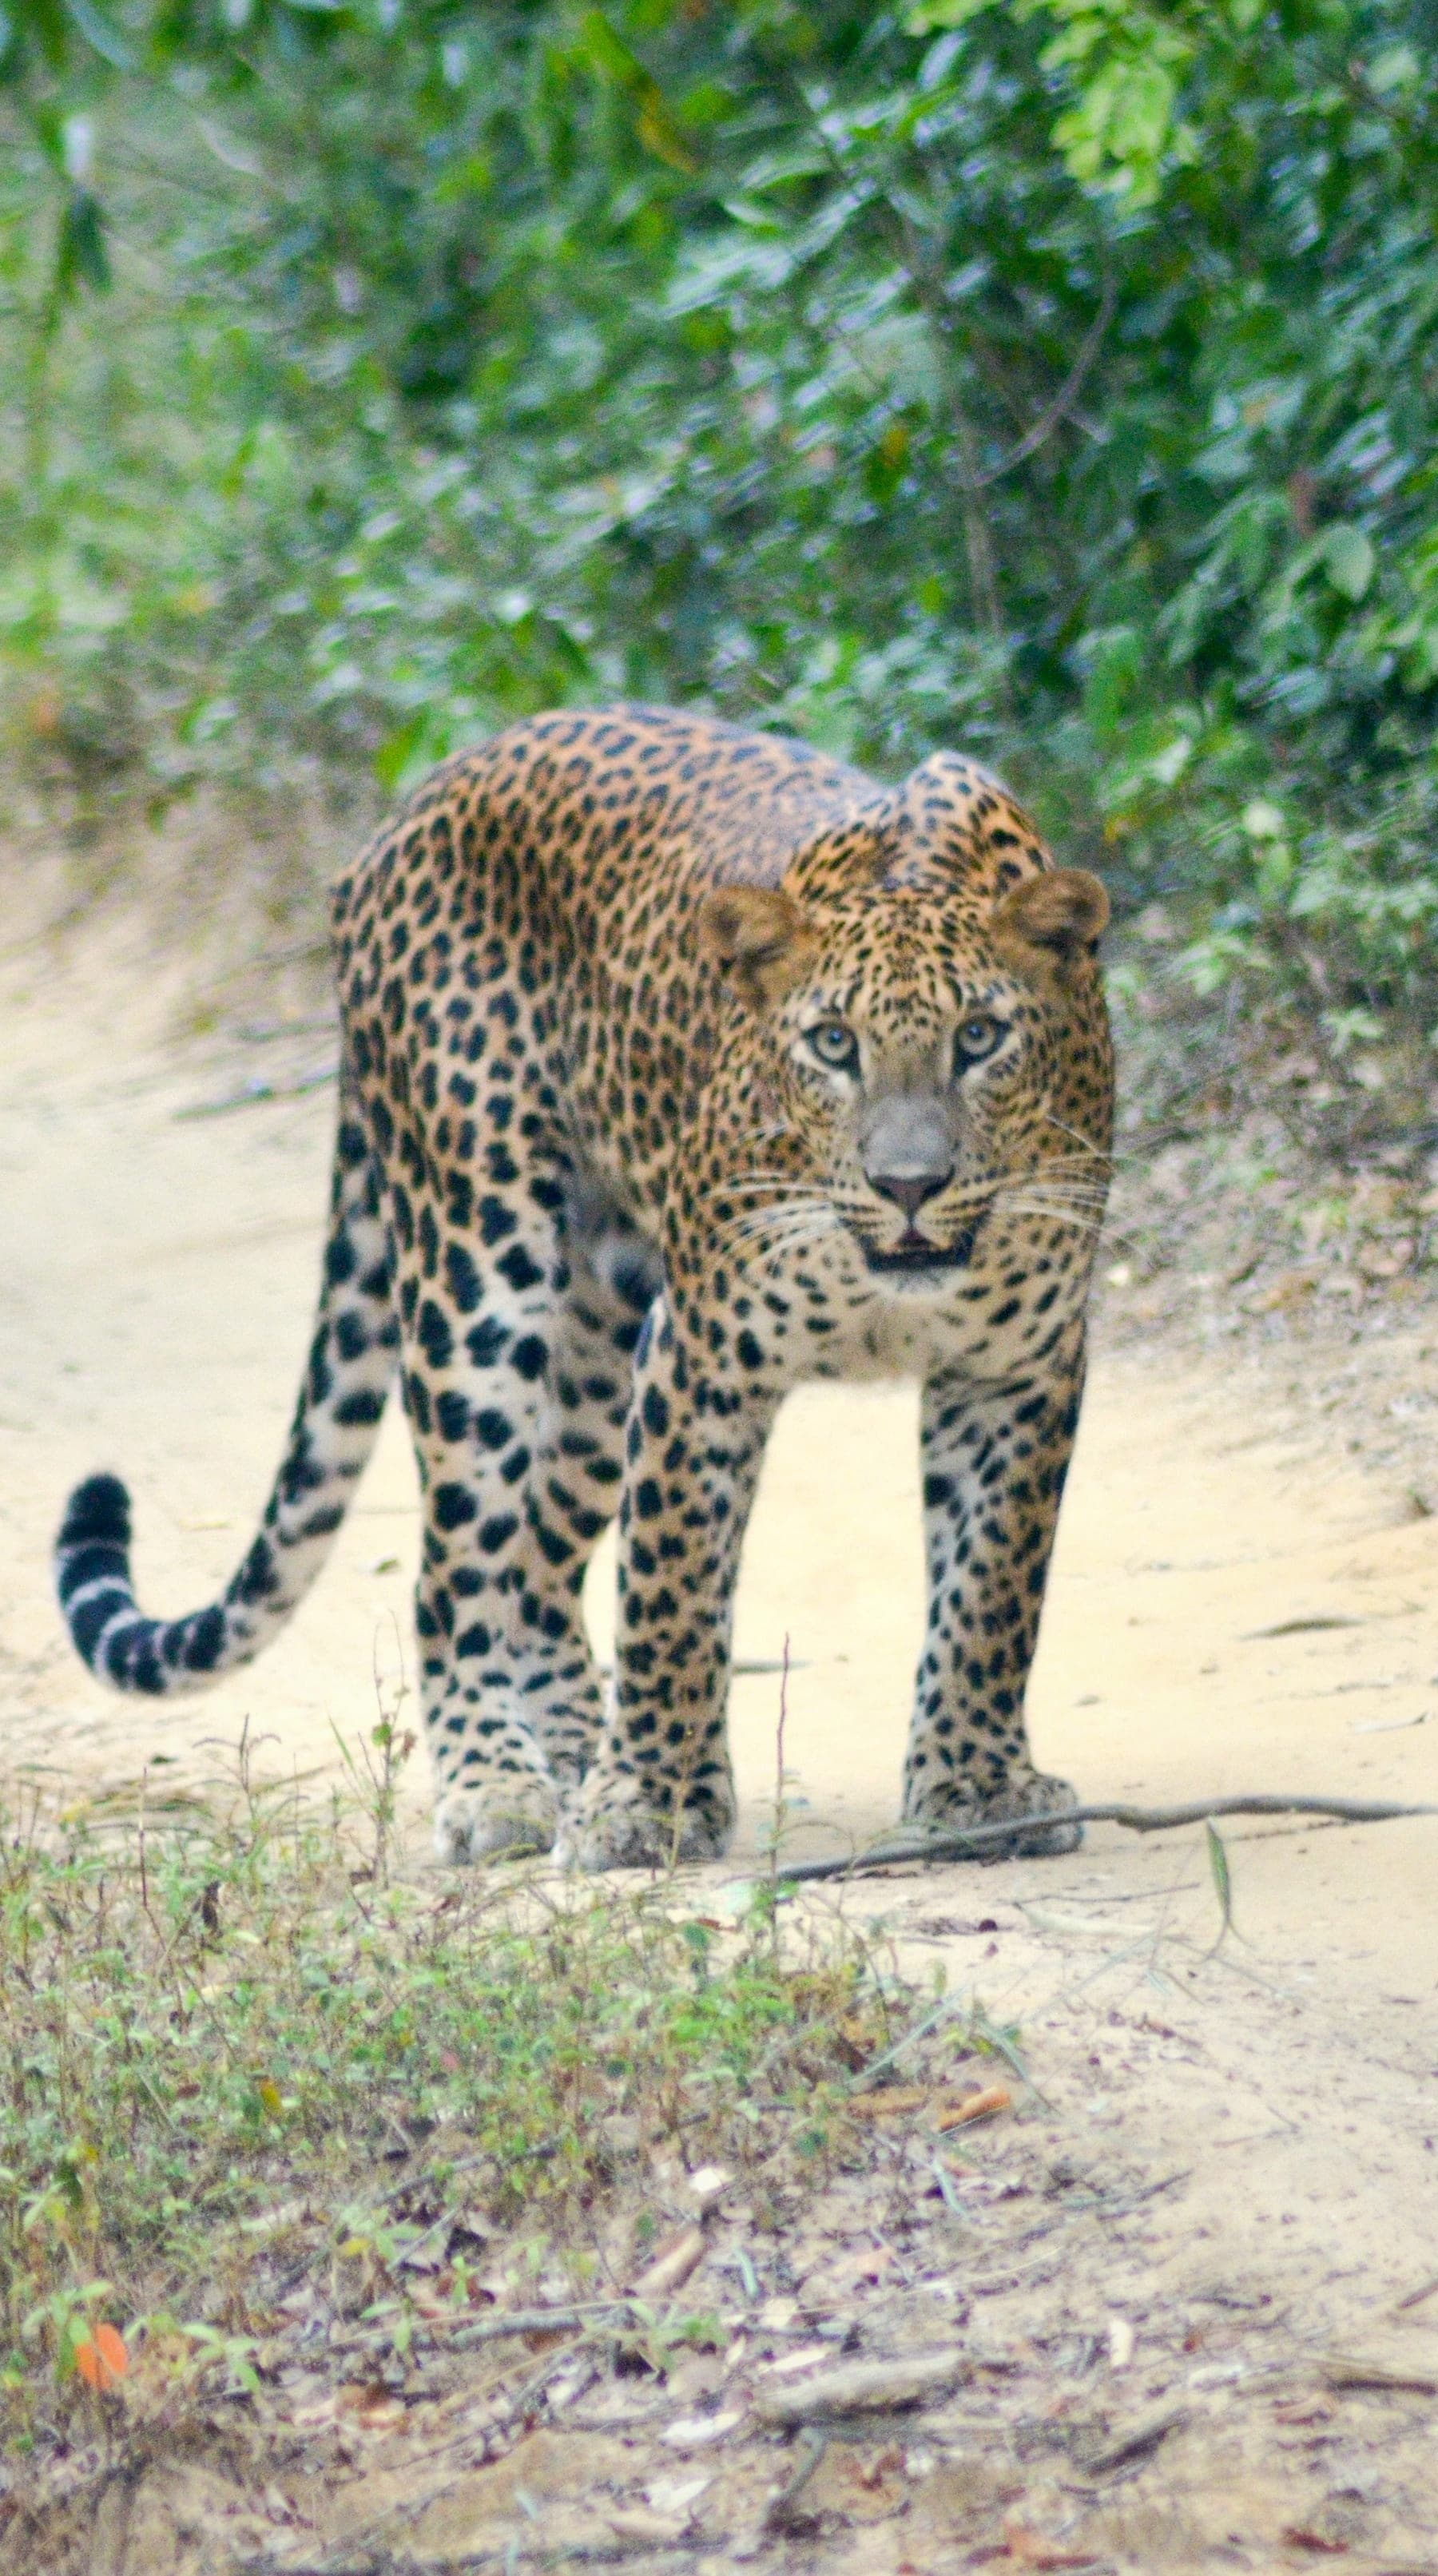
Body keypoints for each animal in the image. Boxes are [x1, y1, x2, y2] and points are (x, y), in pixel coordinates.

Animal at [55, 703, 1113, 1870]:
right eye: (834, 1043)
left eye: (981, 1038)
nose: (911, 1186)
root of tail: (408, 812)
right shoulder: (701, 1360)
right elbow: (671, 1588)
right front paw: (651, 1804)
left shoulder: (1018, 1371)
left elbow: (992, 1589)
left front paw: (978, 1786)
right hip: (478, 1274)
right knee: (454, 1572)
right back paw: (499, 1785)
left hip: (600, 1335)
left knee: (539, 1560)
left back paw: (567, 1741)